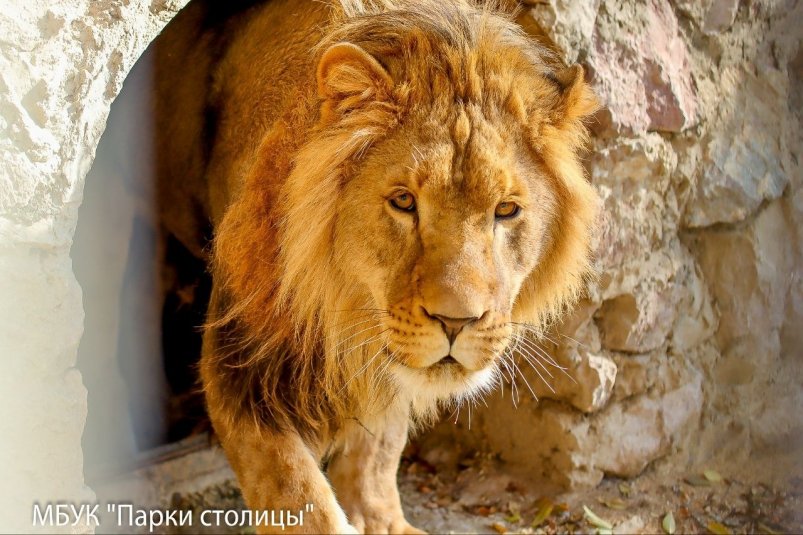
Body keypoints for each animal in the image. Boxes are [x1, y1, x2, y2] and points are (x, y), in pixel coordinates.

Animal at [152, 0, 600, 532]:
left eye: (506, 210)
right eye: (404, 202)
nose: (457, 322)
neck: (343, 304)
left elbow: (379, 448)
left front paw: (382, 519)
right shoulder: (239, 363)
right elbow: (295, 491)